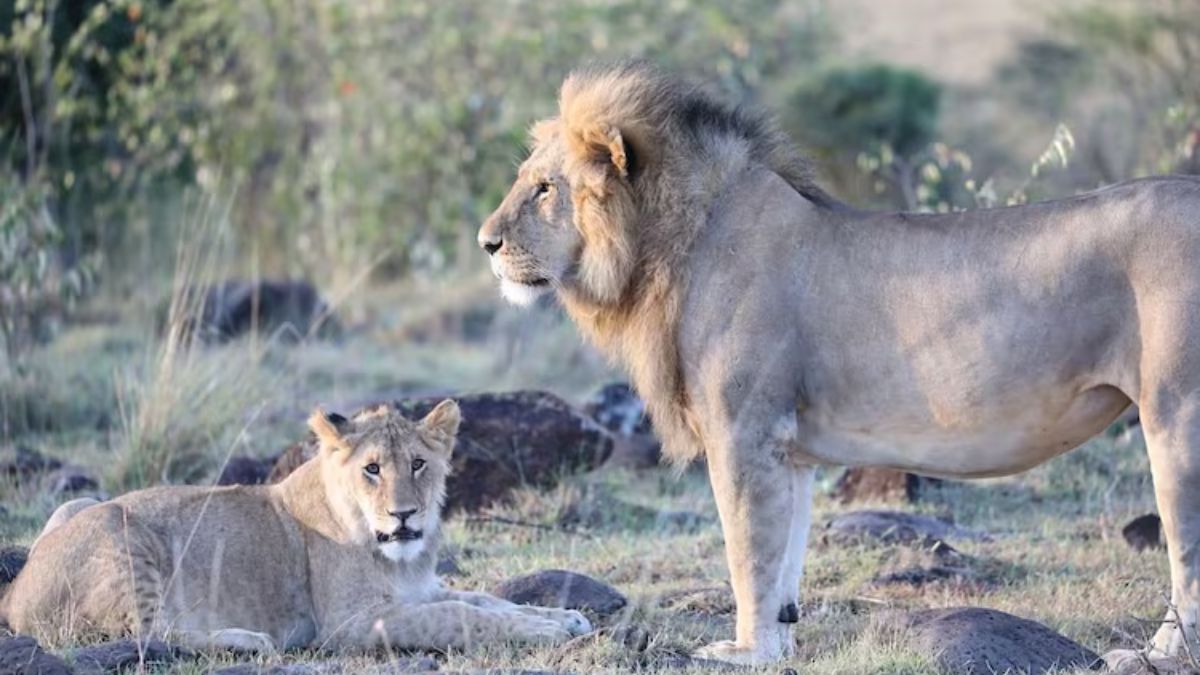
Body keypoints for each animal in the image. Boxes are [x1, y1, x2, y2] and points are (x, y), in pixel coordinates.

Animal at [0, 401, 591, 652]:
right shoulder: (351, 624)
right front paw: (545, 631)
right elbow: (458, 617)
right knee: (150, 635)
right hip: (118, 529)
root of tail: (14, 594)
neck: (401, 559)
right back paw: (250, 640)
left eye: (419, 464)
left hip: (77, 502)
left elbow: (485, 600)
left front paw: (563, 616)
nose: (404, 515)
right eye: (372, 469)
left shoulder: (416, 591)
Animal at [477, 61, 1200, 665]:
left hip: (1176, 417)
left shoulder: (745, 433)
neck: (672, 247)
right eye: (527, 180)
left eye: (544, 189)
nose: (486, 243)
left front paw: (743, 652)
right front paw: (777, 646)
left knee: (1186, 554)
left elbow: (748, 553)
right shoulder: (788, 449)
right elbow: (784, 565)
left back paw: (1155, 653)